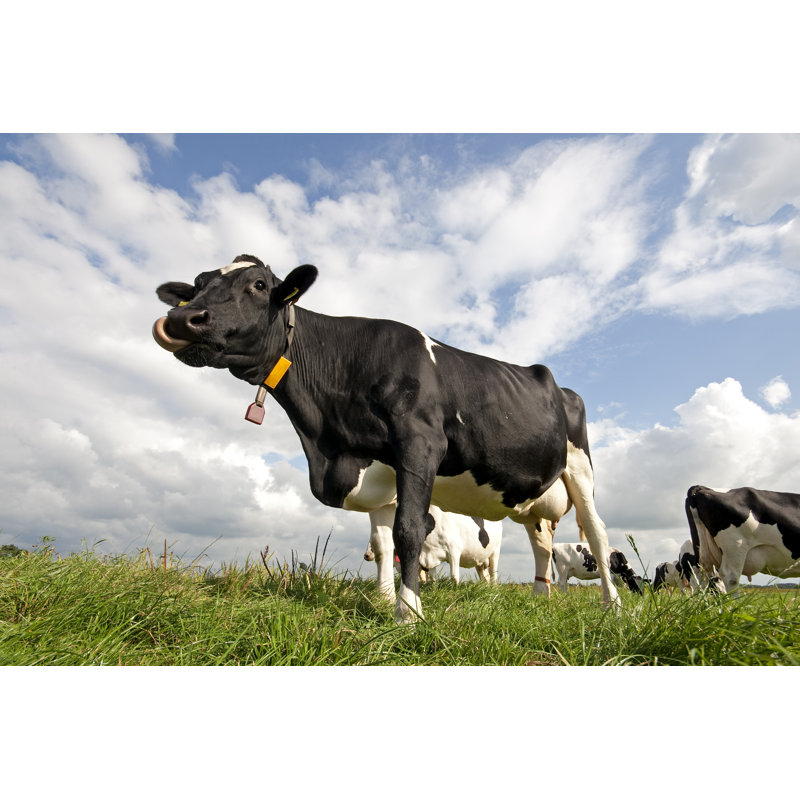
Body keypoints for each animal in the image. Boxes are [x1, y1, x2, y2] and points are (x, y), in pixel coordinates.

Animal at [363, 504, 503, 585]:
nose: (367, 555)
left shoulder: (454, 550)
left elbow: (454, 576)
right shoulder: (429, 556)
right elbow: (432, 578)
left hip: (495, 552)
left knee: (493, 574)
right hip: (480, 560)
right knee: (485, 576)